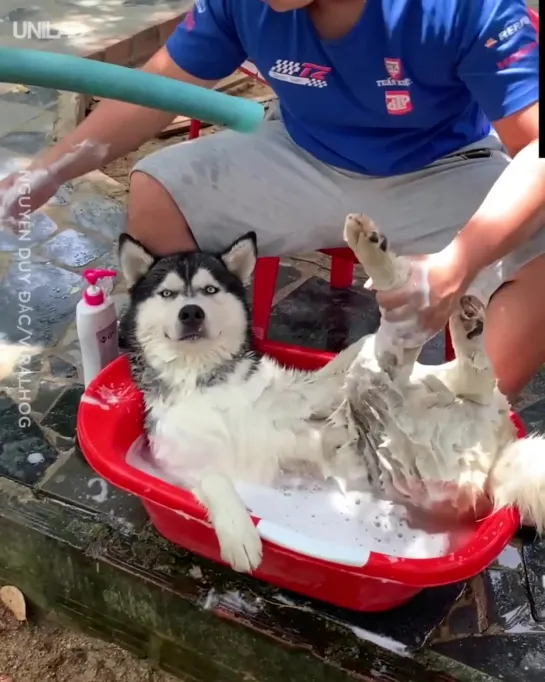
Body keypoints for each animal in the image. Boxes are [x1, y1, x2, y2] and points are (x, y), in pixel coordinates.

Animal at [118, 215, 544, 572]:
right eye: (168, 294)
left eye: (209, 290)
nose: (192, 312)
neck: (205, 378)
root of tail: (493, 458)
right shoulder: (178, 465)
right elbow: (216, 482)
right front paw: (239, 533)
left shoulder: (299, 394)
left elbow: (334, 368)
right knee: (424, 361)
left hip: (390, 385)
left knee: (415, 350)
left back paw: (394, 270)